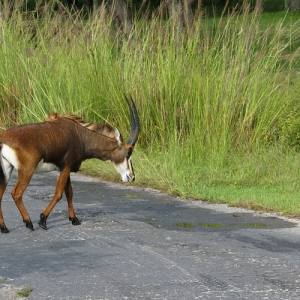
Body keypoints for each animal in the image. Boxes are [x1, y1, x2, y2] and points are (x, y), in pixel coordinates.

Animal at [0, 96, 139, 232]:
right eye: (128, 153)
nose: (132, 177)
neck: (81, 136)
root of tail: (4, 138)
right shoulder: (67, 167)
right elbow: (59, 194)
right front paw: (43, 220)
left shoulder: (64, 168)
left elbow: (69, 193)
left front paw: (74, 219)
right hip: (27, 170)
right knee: (16, 193)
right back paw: (28, 222)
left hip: (7, 169)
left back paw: (4, 227)